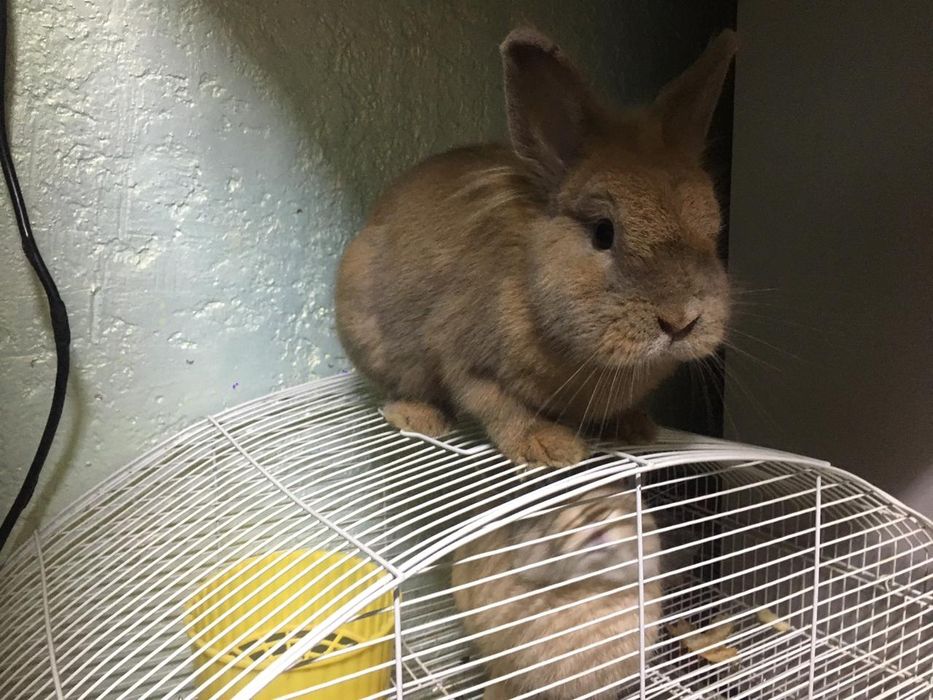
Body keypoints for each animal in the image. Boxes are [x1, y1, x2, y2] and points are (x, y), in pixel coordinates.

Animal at [336, 28, 736, 467]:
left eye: (712, 230)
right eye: (603, 233)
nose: (681, 321)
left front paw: (635, 428)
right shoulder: (466, 359)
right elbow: (501, 407)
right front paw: (549, 446)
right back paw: (417, 417)